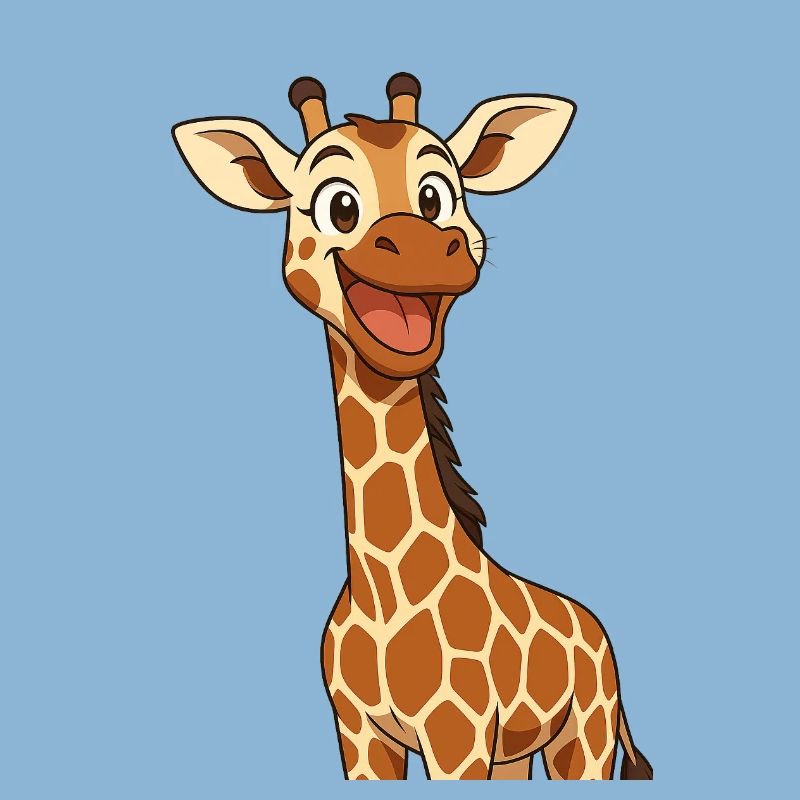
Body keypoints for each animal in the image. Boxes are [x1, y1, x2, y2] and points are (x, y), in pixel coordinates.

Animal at [172, 73, 653, 781]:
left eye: (436, 196)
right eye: (338, 205)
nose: (429, 246)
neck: (381, 596)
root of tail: (598, 629)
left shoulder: (459, 735)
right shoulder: (359, 735)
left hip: (585, 735)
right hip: (519, 751)